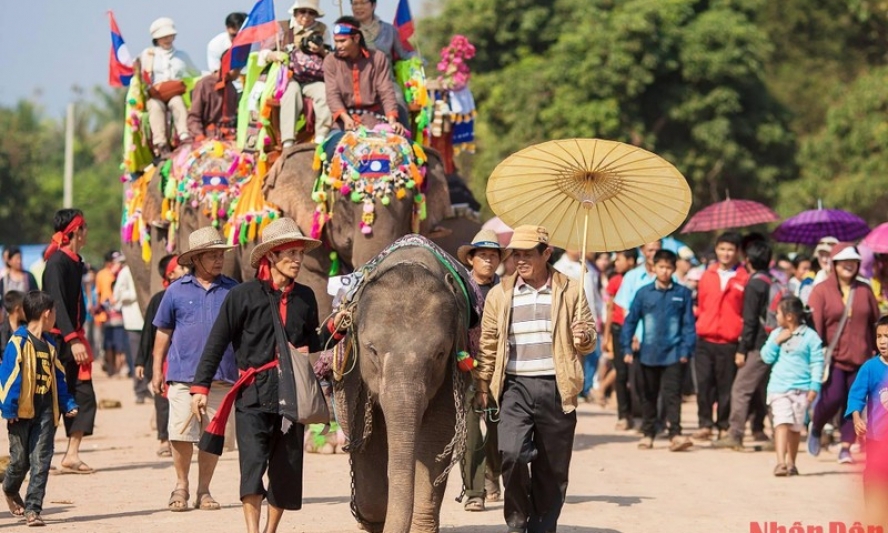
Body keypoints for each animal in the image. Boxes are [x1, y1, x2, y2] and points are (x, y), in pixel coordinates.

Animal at [330, 237, 476, 532]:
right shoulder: (354, 373)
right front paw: (372, 519)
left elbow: (436, 437)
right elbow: (365, 437)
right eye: (372, 350)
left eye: (439, 353)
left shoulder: (450, 372)